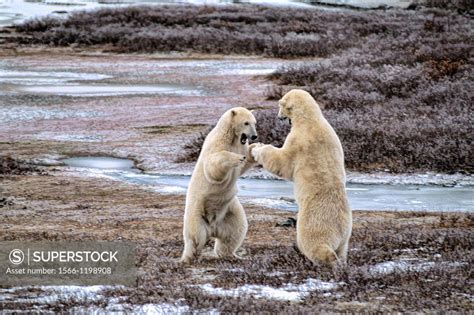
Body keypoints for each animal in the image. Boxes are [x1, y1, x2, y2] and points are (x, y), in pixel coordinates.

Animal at [180, 107, 258, 262]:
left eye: (255, 122)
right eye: (246, 123)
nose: (254, 136)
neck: (231, 138)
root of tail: (212, 227)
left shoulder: (241, 146)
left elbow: (244, 163)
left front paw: (257, 148)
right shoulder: (217, 145)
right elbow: (213, 166)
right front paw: (236, 158)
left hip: (229, 212)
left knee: (235, 231)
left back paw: (232, 255)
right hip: (196, 212)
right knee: (196, 237)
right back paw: (189, 257)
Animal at [252, 89, 352, 266]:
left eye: (280, 105)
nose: (279, 116)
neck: (310, 119)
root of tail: (340, 229)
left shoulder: (298, 140)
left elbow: (282, 162)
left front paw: (258, 148)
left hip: (314, 224)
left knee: (316, 244)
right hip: (347, 233)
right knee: (342, 249)